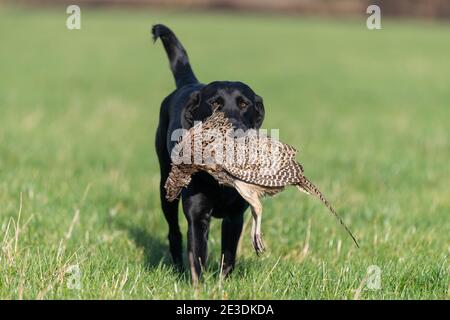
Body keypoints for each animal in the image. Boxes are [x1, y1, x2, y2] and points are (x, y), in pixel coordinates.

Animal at [152, 24, 264, 280]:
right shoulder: (197, 216)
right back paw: (177, 267)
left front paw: (223, 283)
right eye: (214, 104)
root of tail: (189, 84)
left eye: (244, 104)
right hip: (166, 189)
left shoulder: (234, 217)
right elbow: (197, 258)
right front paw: (198, 285)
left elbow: (228, 258)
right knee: (174, 233)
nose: (233, 128)